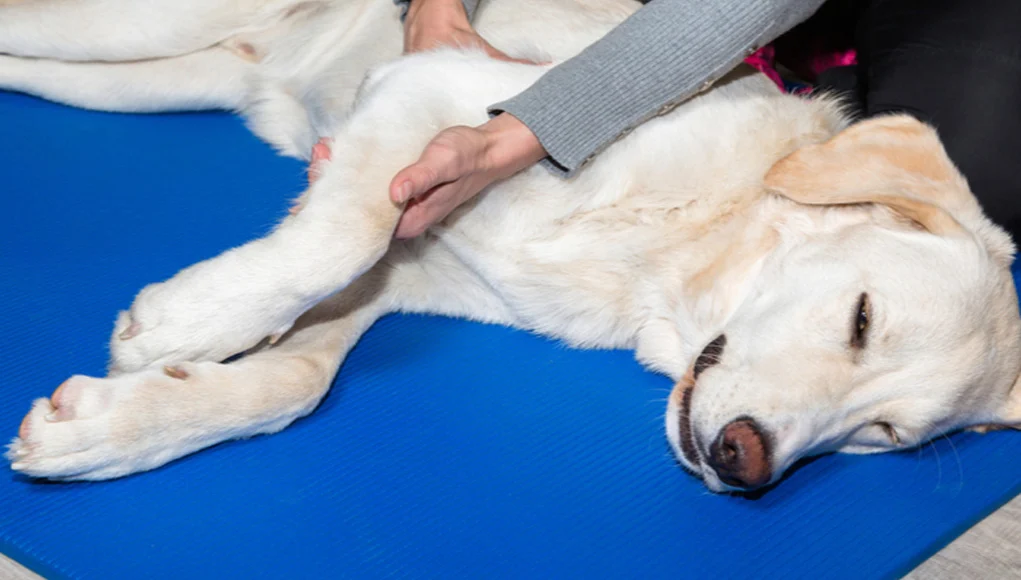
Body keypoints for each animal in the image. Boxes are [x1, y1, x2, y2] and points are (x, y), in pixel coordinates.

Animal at [1, 0, 1021, 492]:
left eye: (884, 436)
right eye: (861, 318)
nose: (746, 461)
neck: (670, 253)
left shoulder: (403, 272)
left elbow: (295, 381)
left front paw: (110, 428)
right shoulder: (430, 97)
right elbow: (341, 234)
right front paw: (186, 325)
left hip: (140, 75)